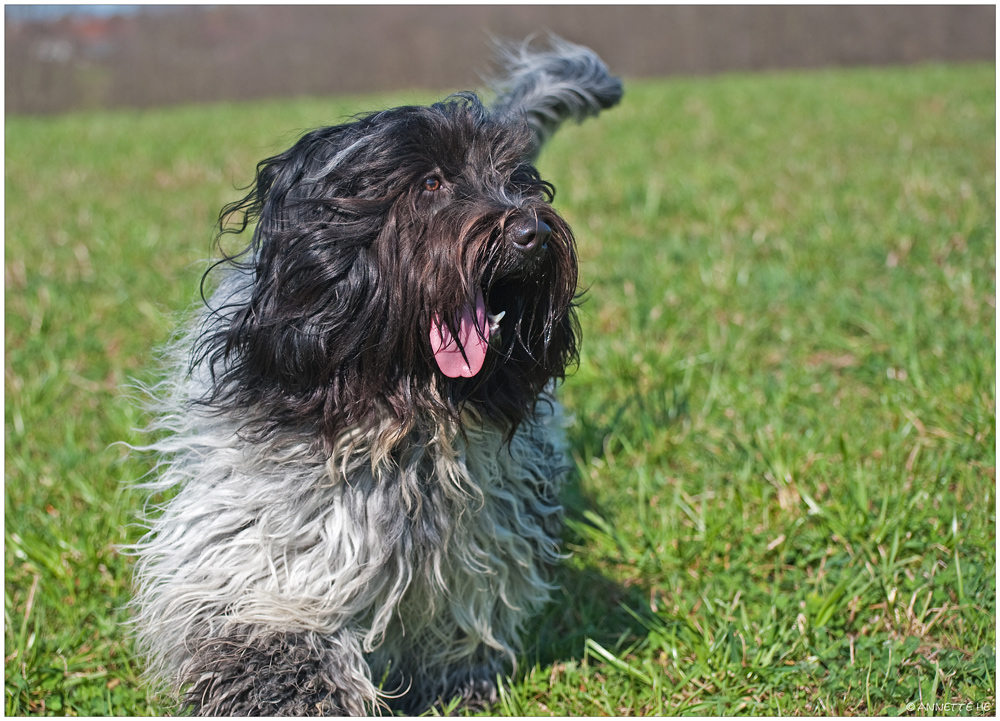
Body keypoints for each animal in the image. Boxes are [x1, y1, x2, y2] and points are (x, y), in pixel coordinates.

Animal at [129, 35, 620, 716]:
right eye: (432, 182)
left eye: (518, 180)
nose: (532, 230)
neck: (406, 414)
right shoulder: (264, 553)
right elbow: (275, 638)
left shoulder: (481, 542)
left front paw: (456, 683)